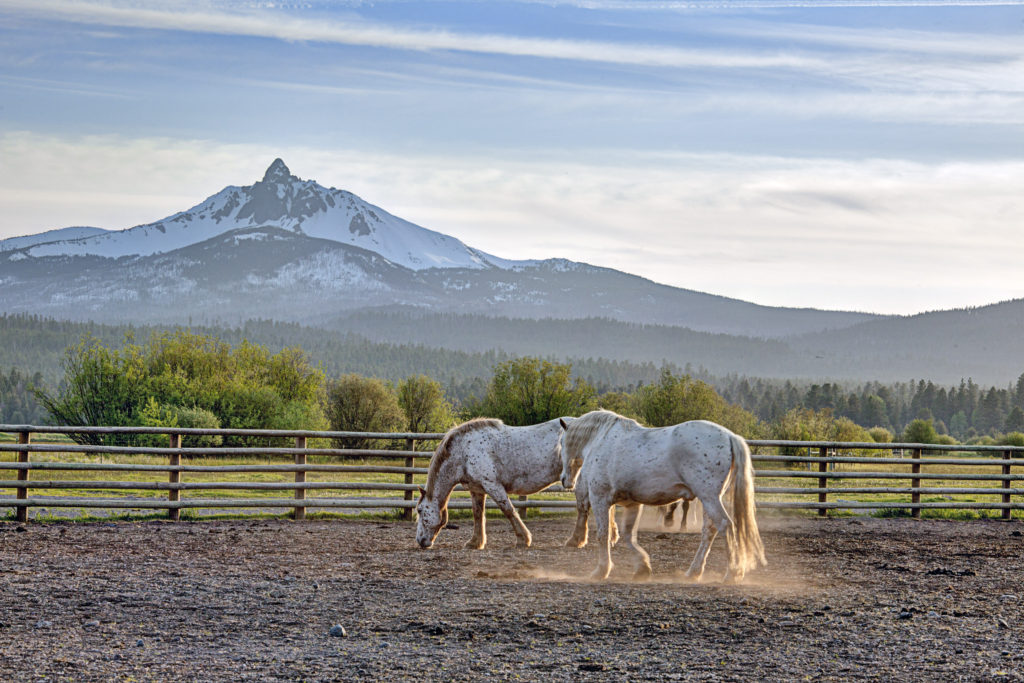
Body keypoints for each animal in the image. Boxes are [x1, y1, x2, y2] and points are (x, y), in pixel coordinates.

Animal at [417, 417, 577, 548]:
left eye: (419, 510)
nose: (420, 541)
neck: (463, 452)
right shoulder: (477, 489)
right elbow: (477, 513)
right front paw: (475, 542)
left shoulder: (492, 485)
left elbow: (508, 510)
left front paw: (523, 539)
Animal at [557, 411, 765, 581]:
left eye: (562, 444)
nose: (565, 480)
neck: (601, 441)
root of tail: (729, 436)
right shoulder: (632, 504)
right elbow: (628, 535)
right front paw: (642, 568)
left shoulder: (600, 499)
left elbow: (603, 534)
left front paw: (601, 570)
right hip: (710, 499)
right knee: (709, 530)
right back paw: (694, 572)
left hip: (709, 498)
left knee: (725, 526)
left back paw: (733, 573)